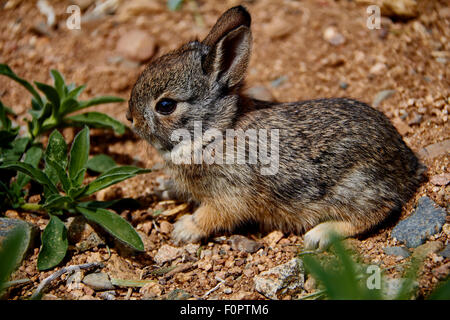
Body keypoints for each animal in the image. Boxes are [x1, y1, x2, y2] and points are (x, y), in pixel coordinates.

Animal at [126, 5, 426, 250]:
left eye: (166, 105)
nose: (130, 118)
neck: (215, 132)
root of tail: (407, 167)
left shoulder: (230, 193)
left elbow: (211, 216)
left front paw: (183, 229)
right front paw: (163, 188)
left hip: (353, 186)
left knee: (376, 211)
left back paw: (320, 234)